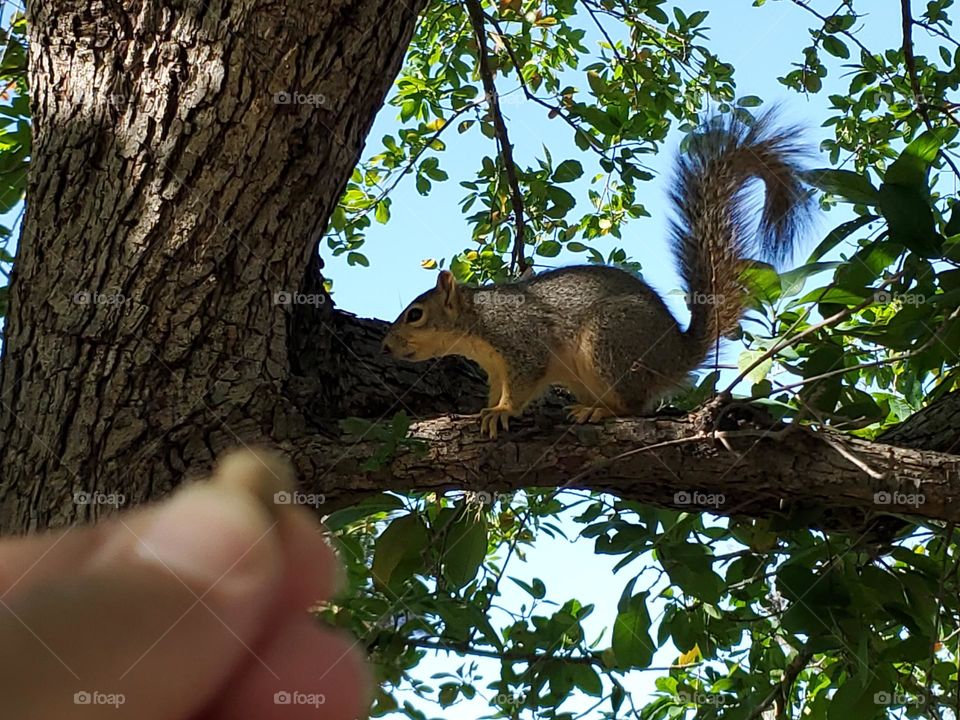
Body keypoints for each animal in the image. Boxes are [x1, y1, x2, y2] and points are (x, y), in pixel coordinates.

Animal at [380, 112, 808, 438]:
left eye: (415, 314)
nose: (385, 347)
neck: (479, 321)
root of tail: (677, 354)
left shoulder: (521, 343)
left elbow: (522, 384)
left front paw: (502, 412)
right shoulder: (496, 368)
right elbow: (498, 389)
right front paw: (484, 411)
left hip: (610, 340)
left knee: (635, 406)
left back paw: (600, 412)